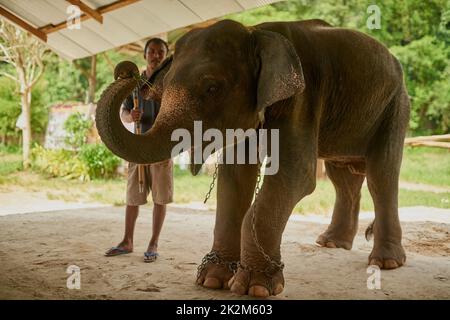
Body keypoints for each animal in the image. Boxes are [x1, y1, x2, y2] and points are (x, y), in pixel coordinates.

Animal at [96, 18, 410, 296]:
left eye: (212, 88)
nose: (127, 71)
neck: (256, 33)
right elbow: (236, 176)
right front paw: (212, 280)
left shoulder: (303, 98)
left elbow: (295, 174)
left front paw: (256, 287)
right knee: (342, 178)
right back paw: (331, 243)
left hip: (396, 105)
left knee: (381, 174)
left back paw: (386, 262)